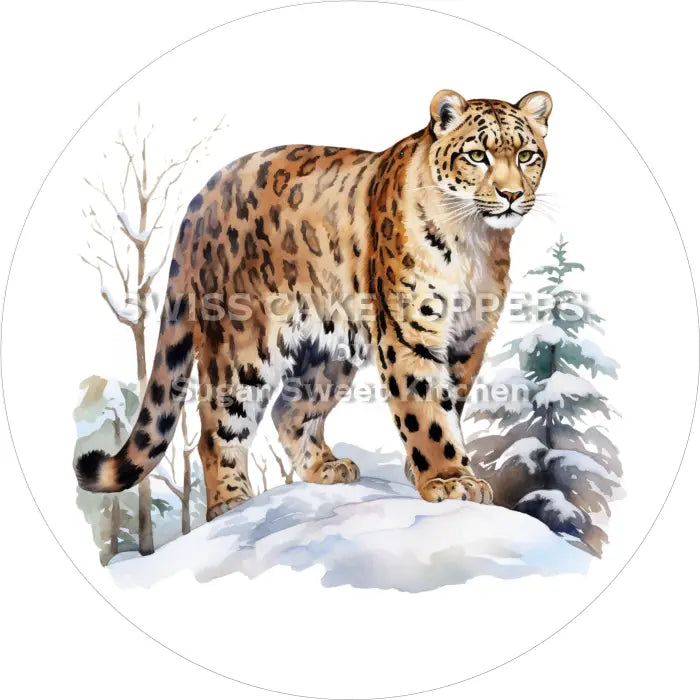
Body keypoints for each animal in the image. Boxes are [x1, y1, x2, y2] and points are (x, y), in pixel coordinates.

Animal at [75, 89, 553, 521]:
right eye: (477, 155)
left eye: (527, 155)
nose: (511, 194)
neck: (476, 241)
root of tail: (205, 193)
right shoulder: (409, 332)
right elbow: (426, 409)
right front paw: (449, 479)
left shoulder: (470, 339)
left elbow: (451, 402)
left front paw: (432, 469)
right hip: (240, 344)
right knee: (217, 425)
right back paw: (231, 503)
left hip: (327, 349)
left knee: (289, 409)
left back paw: (326, 467)